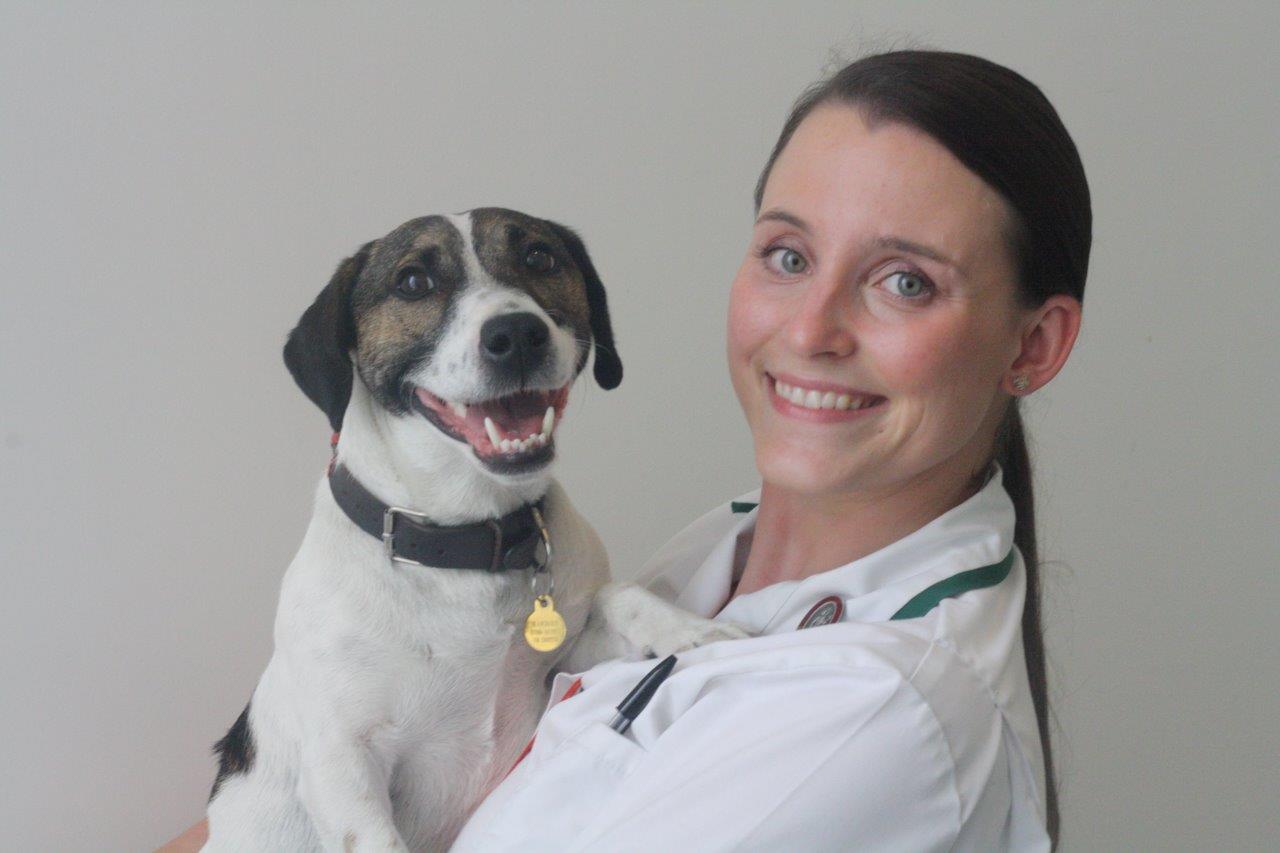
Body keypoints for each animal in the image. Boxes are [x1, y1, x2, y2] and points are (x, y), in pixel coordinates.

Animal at [203, 207, 747, 850]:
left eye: (539, 256)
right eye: (413, 281)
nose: (516, 335)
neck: (461, 544)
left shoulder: (560, 669)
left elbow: (619, 597)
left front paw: (692, 631)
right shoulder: (343, 766)